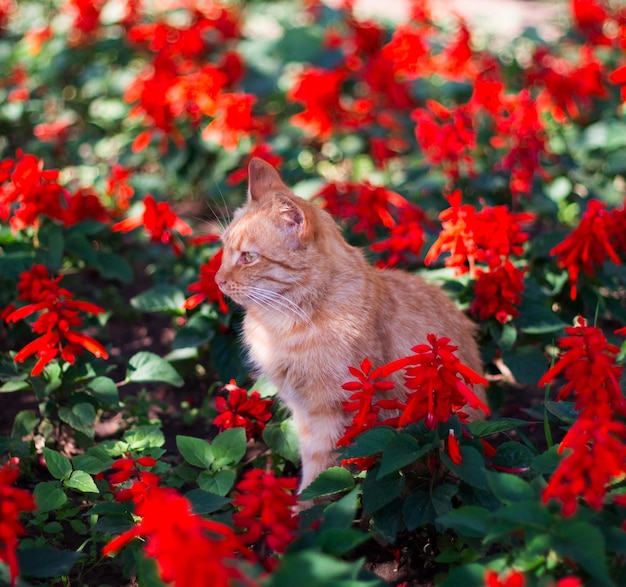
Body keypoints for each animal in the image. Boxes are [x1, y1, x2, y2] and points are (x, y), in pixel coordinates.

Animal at [217, 157, 486, 492]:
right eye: (224, 249)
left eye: (249, 257)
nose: (218, 280)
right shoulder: (303, 411)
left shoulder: (332, 411)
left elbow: (321, 469)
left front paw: (306, 505)